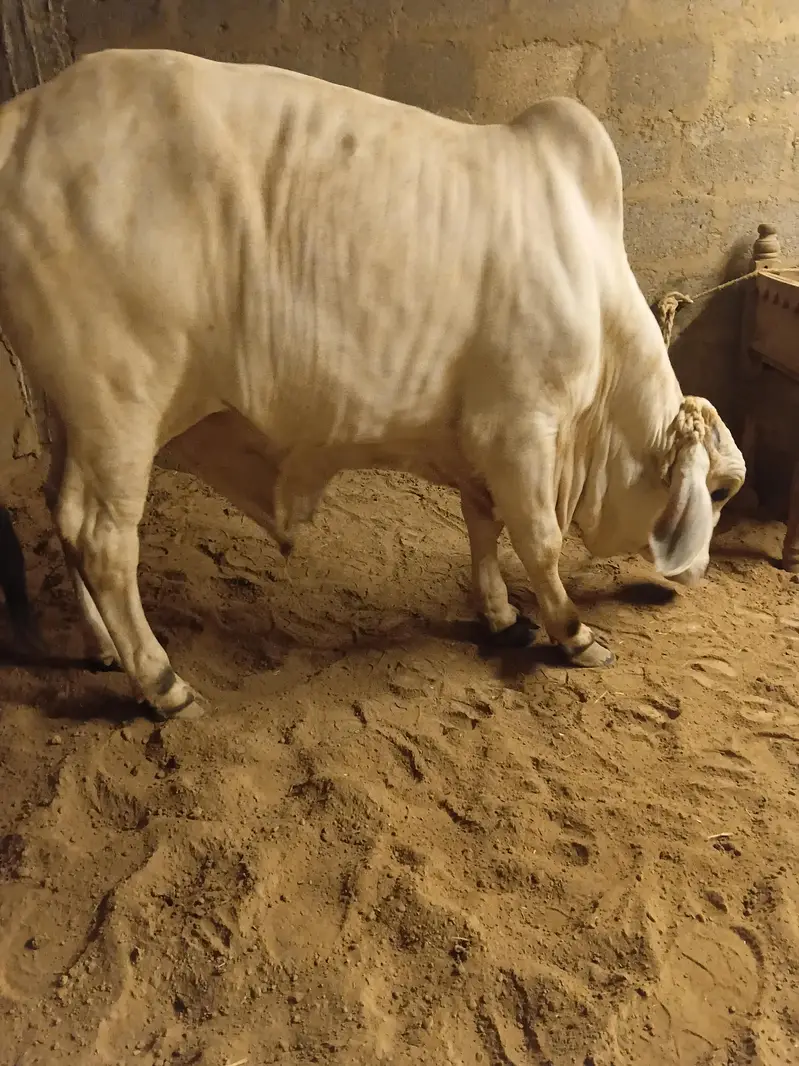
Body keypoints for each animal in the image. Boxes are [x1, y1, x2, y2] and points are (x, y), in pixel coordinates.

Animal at [0, 48, 745, 719]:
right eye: (718, 489)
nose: (699, 571)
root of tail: (27, 112)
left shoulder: (481, 439)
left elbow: (483, 524)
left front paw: (501, 615)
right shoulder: (521, 428)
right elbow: (537, 540)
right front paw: (573, 632)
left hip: (75, 413)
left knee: (61, 509)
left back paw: (102, 647)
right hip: (120, 403)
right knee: (103, 539)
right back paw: (162, 684)